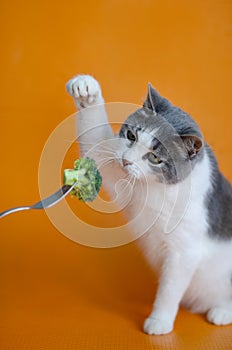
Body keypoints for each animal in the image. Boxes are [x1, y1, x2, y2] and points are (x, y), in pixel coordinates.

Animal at [65, 74, 232, 334]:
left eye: (155, 157)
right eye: (131, 136)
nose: (126, 161)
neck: (158, 188)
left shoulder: (184, 252)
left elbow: (169, 289)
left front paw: (159, 321)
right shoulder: (117, 173)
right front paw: (85, 88)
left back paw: (222, 311)